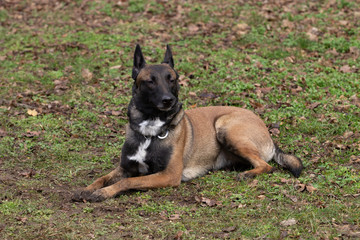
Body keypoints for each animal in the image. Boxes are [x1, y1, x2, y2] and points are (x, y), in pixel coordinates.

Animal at [71, 44, 302, 202]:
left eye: (171, 79)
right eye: (150, 81)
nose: (169, 100)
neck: (151, 129)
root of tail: (266, 131)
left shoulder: (169, 175)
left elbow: (129, 181)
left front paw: (103, 193)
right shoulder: (125, 167)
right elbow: (102, 177)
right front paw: (88, 189)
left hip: (225, 127)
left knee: (266, 166)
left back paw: (247, 175)